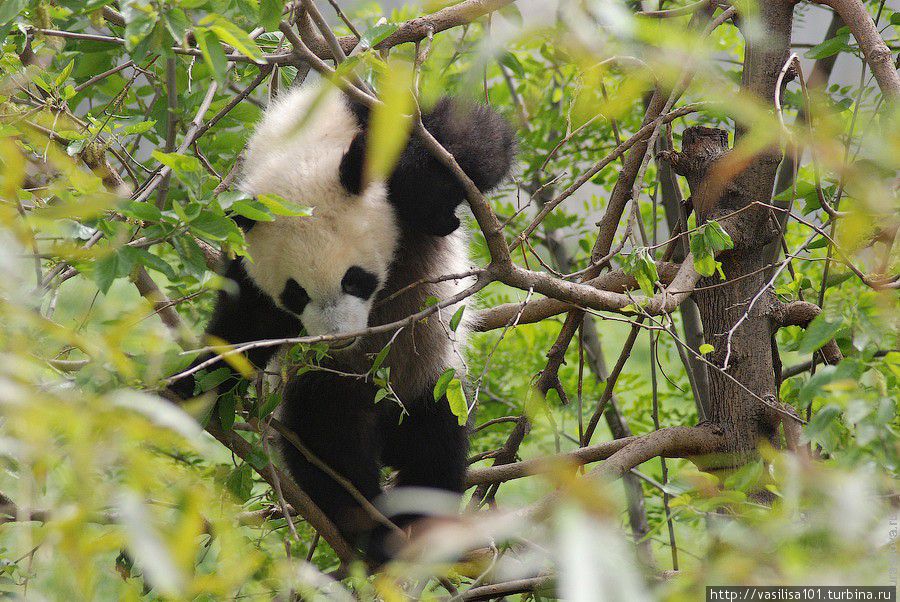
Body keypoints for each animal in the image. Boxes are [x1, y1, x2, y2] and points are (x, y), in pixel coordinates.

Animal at [171, 79, 512, 556]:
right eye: (295, 295)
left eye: (355, 280)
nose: (338, 339)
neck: (301, 139)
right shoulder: (248, 242)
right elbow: (247, 325)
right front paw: (191, 384)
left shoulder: (382, 112)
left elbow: (469, 138)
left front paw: (424, 201)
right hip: (329, 385)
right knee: (327, 437)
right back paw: (368, 522)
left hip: (427, 372)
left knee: (435, 437)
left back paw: (413, 523)